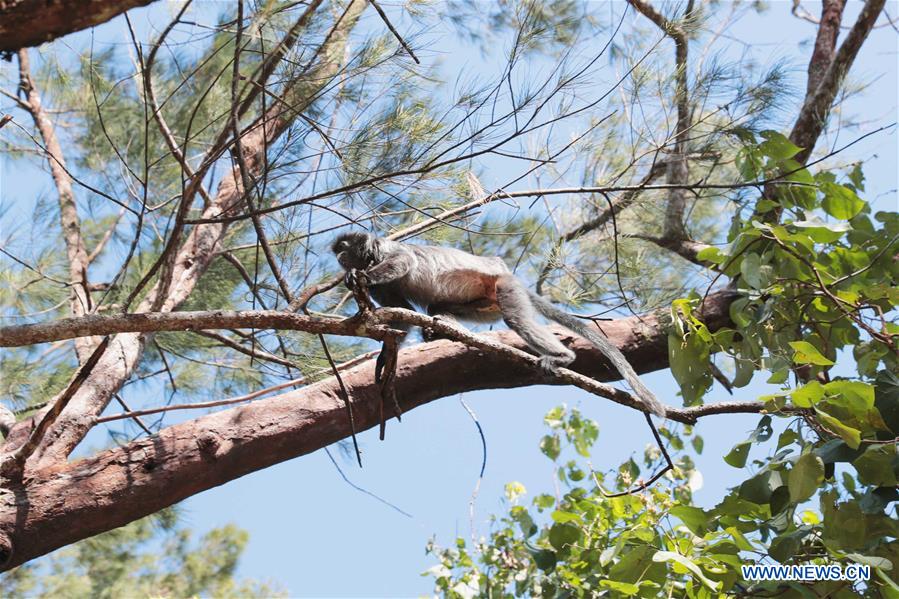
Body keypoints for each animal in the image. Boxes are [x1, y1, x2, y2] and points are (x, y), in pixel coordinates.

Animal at [332, 232, 668, 420]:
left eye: (344, 248)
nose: (339, 257)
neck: (373, 255)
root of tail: (504, 272)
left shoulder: (386, 251)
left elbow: (404, 264)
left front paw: (362, 277)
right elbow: (404, 314)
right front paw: (385, 357)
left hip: (503, 287)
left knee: (515, 319)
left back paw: (563, 357)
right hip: (483, 305)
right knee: (437, 308)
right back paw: (440, 327)